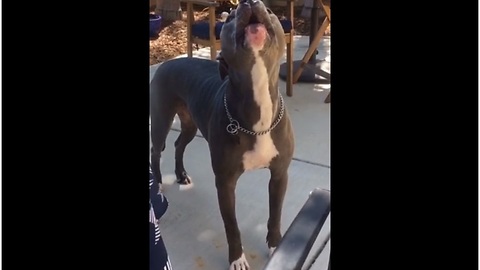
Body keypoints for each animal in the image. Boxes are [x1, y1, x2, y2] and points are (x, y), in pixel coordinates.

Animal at [150, 1, 294, 268]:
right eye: (229, 19)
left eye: (270, 12)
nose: (249, 2)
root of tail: (170, 61)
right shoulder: (225, 183)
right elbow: (232, 226)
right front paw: (237, 258)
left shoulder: (279, 174)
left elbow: (276, 214)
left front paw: (275, 245)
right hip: (162, 118)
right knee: (156, 150)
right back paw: (159, 185)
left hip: (190, 123)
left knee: (179, 144)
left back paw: (181, 175)